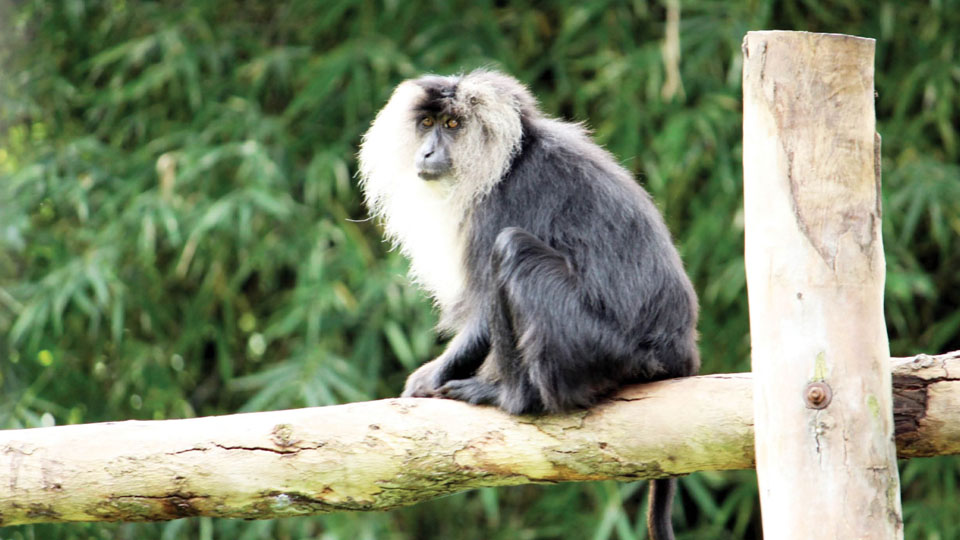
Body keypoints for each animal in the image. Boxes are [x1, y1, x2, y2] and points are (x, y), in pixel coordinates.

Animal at [358, 70, 699, 540]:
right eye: (426, 124)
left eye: (452, 126)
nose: (426, 151)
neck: (507, 161)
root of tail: (679, 351)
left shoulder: (500, 204)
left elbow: (482, 314)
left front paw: (431, 378)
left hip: (599, 348)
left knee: (513, 250)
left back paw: (512, 398)